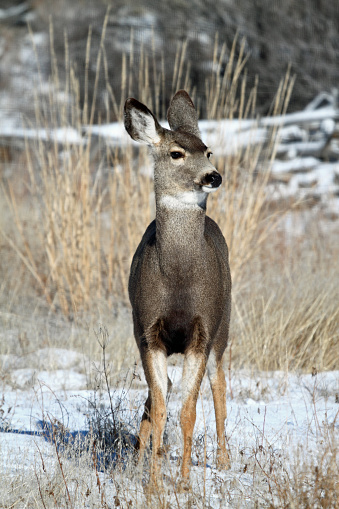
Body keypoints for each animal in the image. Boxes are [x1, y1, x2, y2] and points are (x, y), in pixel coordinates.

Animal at [125, 90, 234, 484]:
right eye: (176, 153)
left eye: (208, 150)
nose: (213, 176)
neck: (178, 282)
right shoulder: (146, 329)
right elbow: (159, 407)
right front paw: (153, 481)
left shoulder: (203, 329)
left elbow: (189, 410)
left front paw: (185, 482)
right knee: (159, 394)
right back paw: (140, 456)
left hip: (224, 325)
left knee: (219, 386)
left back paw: (224, 461)